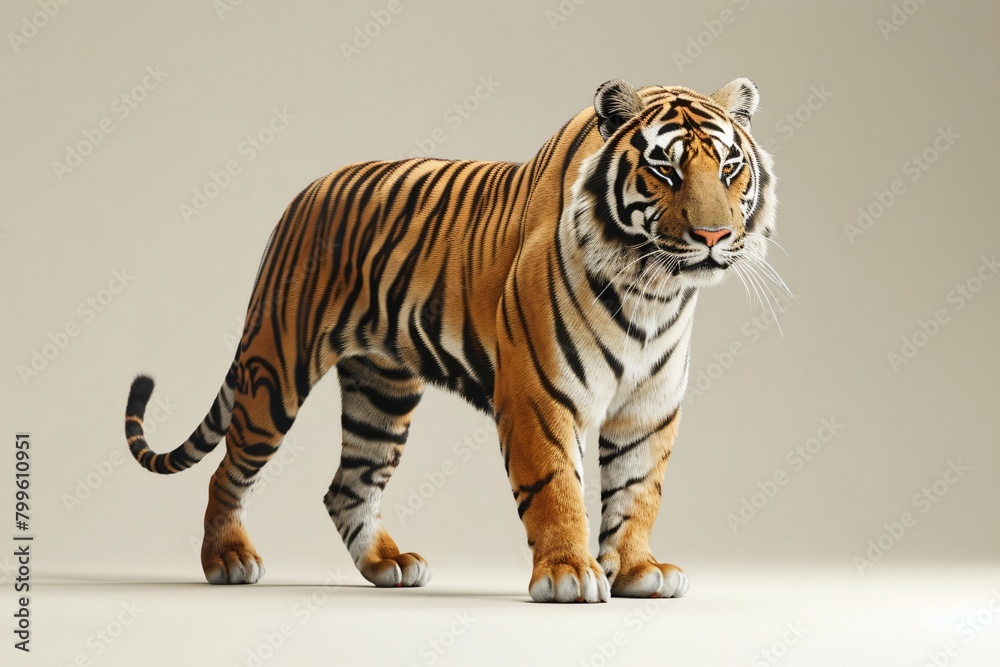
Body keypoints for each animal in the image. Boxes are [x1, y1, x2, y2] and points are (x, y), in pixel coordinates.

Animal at [124, 77, 778, 603]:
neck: (654, 290)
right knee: (229, 471)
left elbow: (639, 491)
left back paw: (388, 564)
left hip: (381, 391)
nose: (714, 235)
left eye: (729, 168)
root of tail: (304, 195)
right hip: (276, 370)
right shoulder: (538, 397)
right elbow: (558, 486)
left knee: (348, 486)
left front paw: (639, 572)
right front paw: (569, 573)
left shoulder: (648, 407)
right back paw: (227, 559)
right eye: (665, 169)